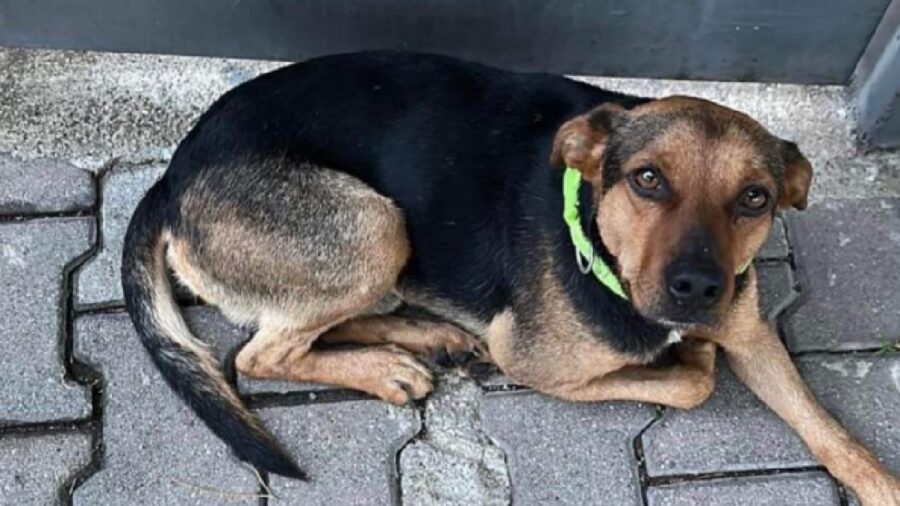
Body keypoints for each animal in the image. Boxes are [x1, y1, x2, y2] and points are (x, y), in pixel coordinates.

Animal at [121, 51, 900, 502]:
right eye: (647, 180)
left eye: (755, 199)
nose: (699, 292)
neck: (603, 246)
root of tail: (172, 173)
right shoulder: (533, 363)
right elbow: (692, 382)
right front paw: (692, 358)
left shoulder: (754, 330)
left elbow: (831, 432)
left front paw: (880, 482)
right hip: (376, 225)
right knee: (257, 354)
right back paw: (388, 367)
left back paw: (424, 338)